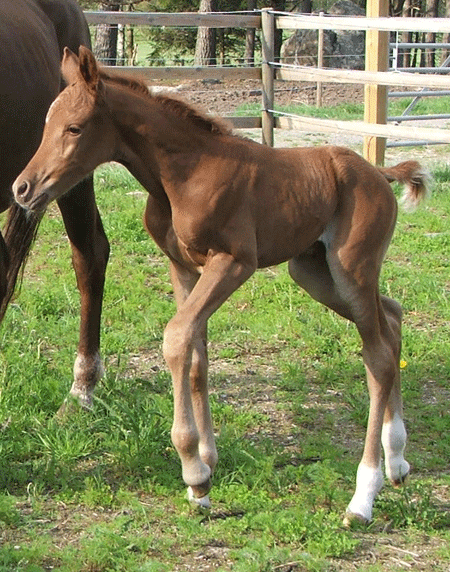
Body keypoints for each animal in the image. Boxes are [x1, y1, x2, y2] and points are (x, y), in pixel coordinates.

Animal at [13, 49, 428, 524]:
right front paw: (206, 467)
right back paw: (398, 460)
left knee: (377, 357)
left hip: (351, 268)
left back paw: (363, 495)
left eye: (75, 127)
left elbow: (177, 338)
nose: (23, 188)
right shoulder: (183, 268)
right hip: (313, 273)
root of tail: (380, 173)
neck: (183, 174)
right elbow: (196, 355)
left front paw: (194, 472)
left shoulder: (233, 262)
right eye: (47, 123)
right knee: (392, 318)